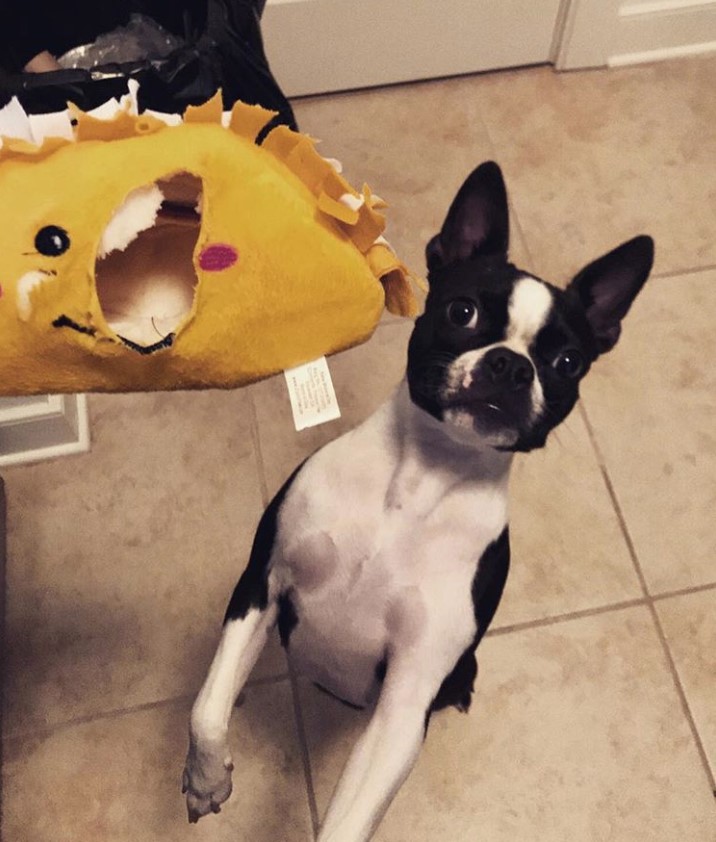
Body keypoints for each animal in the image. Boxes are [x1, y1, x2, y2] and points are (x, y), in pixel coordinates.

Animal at [180, 161, 656, 836]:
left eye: (568, 361)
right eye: (462, 311)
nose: (513, 366)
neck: (417, 482)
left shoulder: (405, 701)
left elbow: (349, 818)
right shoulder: (262, 582)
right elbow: (206, 707)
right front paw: (205, 776)